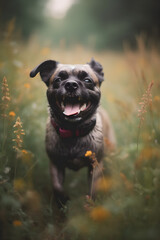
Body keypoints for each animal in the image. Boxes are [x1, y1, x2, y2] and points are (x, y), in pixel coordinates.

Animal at [29, 58, 115, 208]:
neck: (73, 131)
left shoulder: (95, 167)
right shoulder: (55, 164)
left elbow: (92, 191)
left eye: (87, 80)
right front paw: (63, 201)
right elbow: (57, 187)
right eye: (58, 79)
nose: (70, 85)